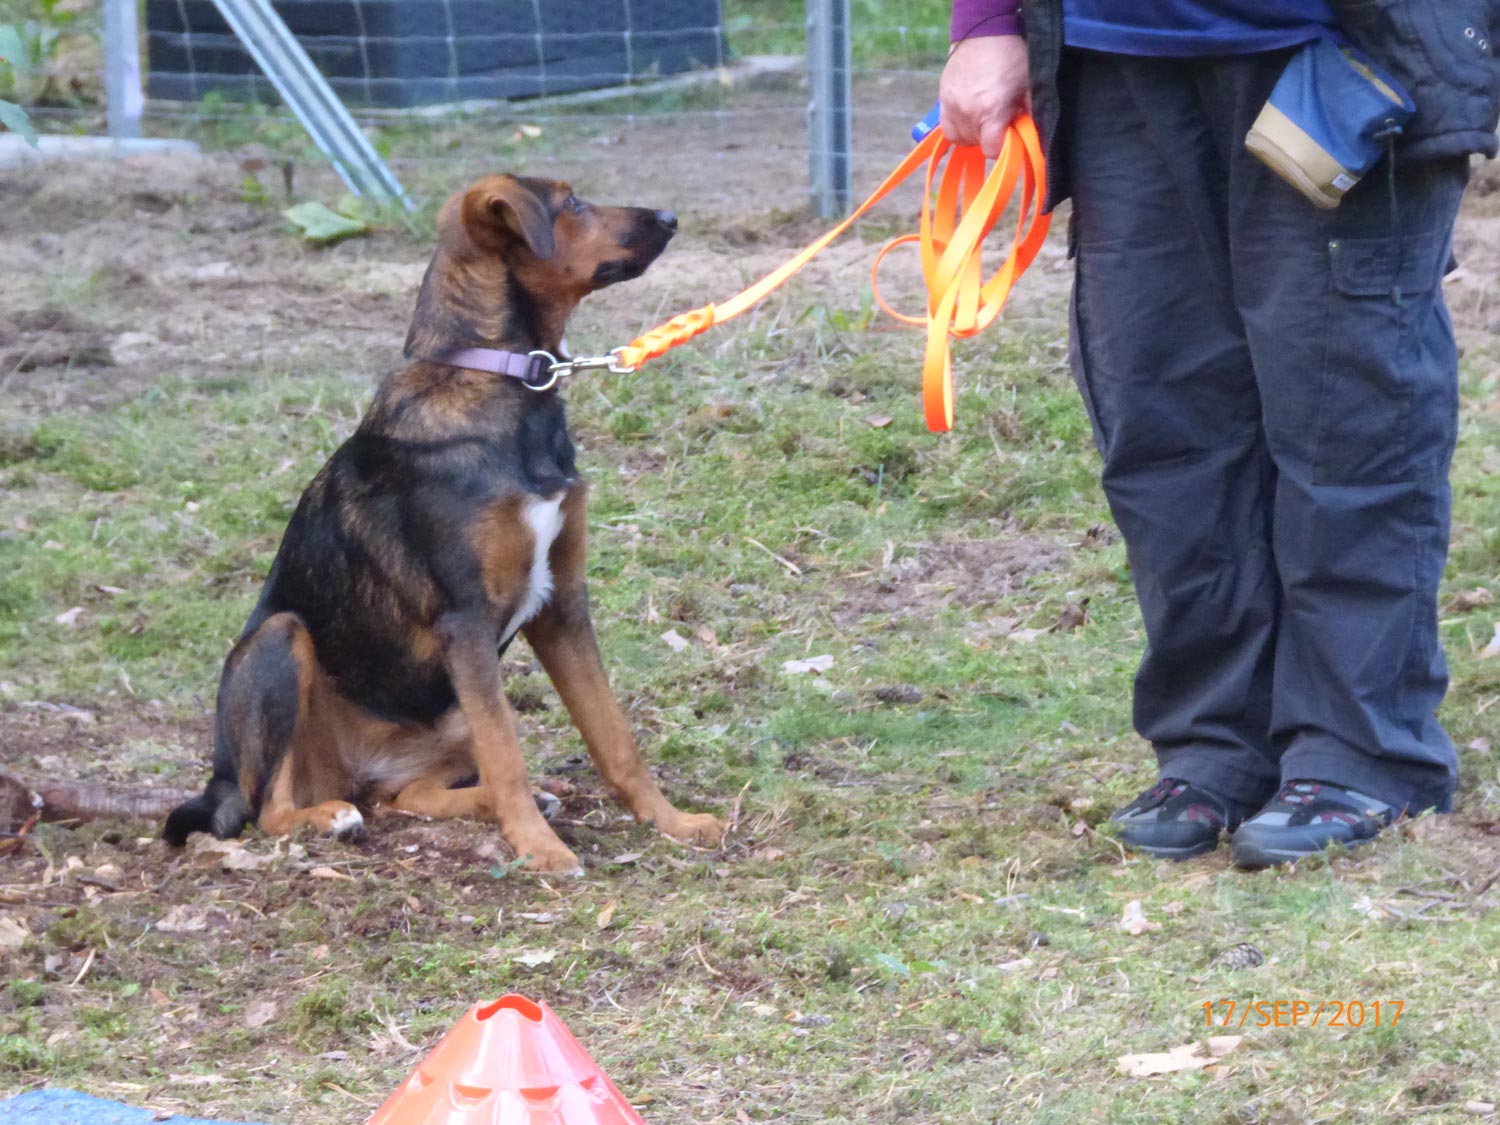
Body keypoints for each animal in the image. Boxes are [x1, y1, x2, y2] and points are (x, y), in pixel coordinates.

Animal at [161, 178, 723, 882]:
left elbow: (615, 739)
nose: (672, 218)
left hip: (452, 712)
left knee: (408, 797)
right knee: (271, 808)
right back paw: (328, 816)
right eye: (570, 204)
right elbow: (509, 757)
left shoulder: (562, 606)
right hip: (282, 643)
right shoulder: (468, 619)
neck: (501, 376)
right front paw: (540, 850)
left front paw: (673, 824)